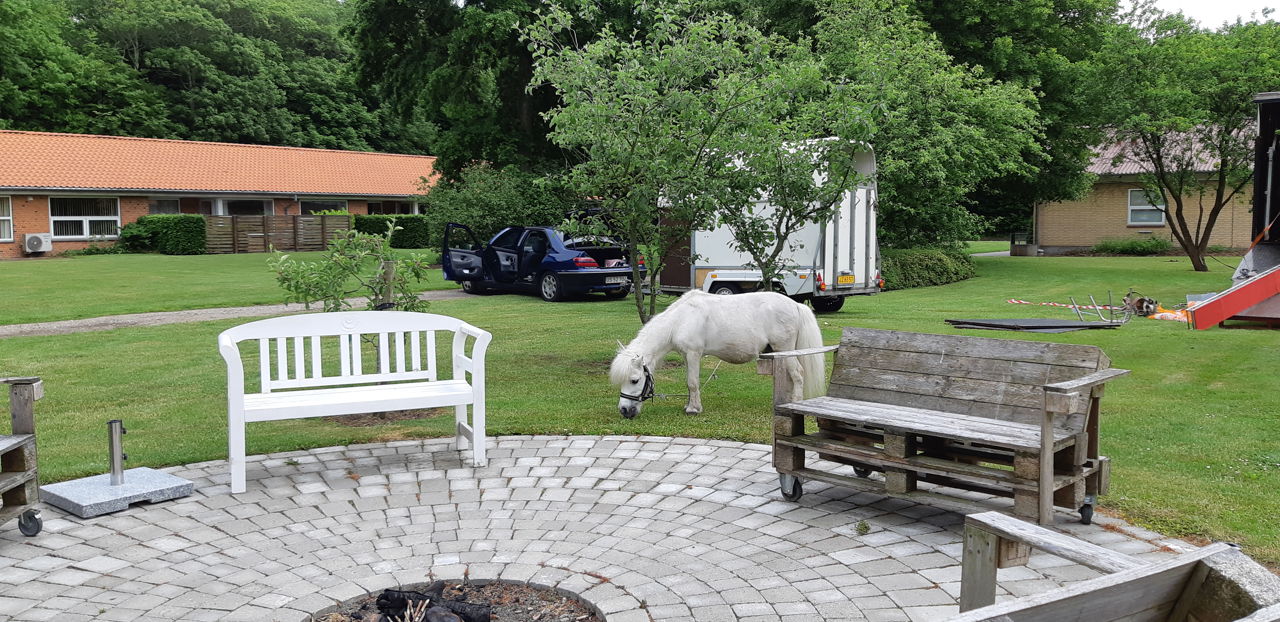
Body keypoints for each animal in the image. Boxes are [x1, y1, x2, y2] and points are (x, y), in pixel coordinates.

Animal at [609, 289, 826, 418]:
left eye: (635, 380)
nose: (624, 410)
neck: (680, 320)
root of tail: (796, 305)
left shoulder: (693, 354)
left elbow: (693, 383)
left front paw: (693, 409)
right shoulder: (687, 356)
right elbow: (689, 384)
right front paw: (689, 405)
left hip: (785, 349)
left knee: (797, 374)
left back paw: (795, 404)